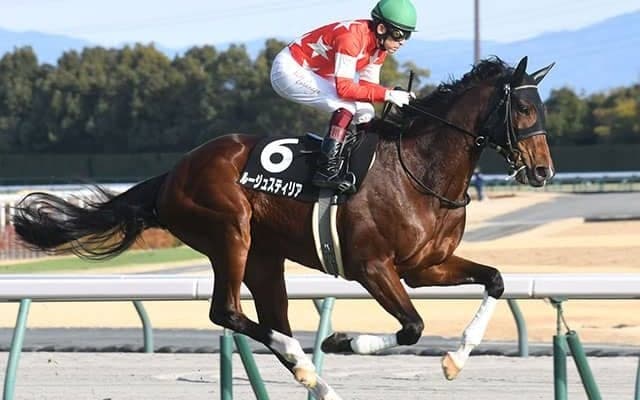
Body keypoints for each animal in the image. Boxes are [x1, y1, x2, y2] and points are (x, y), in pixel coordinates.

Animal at [13, 56, 555, 400]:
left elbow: (495, 281)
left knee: (269, 319)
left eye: (543, 108)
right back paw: (304, 357)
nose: (543, 170)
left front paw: (455, 360)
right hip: (230, 234)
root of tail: (173, 174)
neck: (420, 168)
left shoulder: (426, 266)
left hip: (265, 259)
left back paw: (316, 380)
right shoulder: (373, 266)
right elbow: (413, 327)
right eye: (525, 108)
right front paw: (340, 341)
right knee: (228, 313)